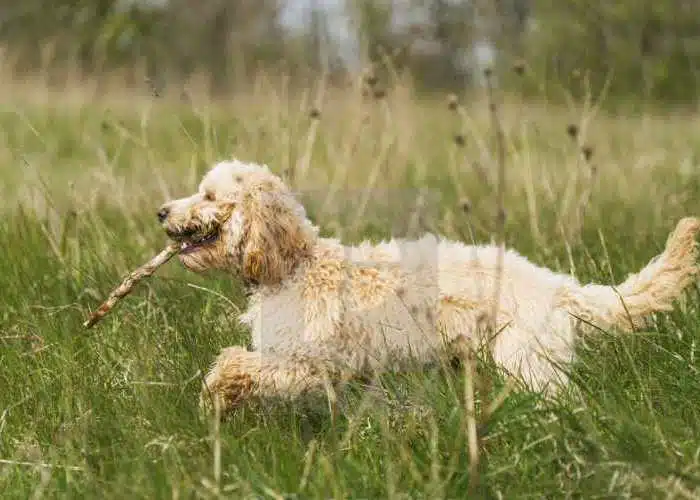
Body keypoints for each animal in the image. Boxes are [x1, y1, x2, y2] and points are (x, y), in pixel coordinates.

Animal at [159, 159, 700, 410]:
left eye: (209, 196)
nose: (161, 212)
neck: (293, 264)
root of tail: (556, 286)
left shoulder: (307, 365)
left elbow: (233, 364)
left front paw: (213, 397)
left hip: (531, 368)